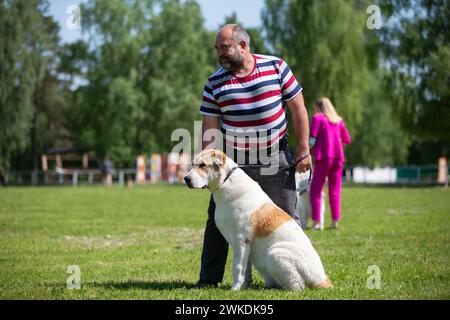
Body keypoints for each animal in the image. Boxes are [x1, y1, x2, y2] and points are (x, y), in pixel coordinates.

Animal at [183, 149, 330, 292]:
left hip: (275, 252)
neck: (225, 182)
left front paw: (235, 290)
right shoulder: (243, 245)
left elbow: (237, 267)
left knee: (298, 286)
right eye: (193, 165)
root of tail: (323, 279)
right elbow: (245, 268)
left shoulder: (241, 240)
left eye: (202, 165)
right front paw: (242, 287)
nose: (186, 178)